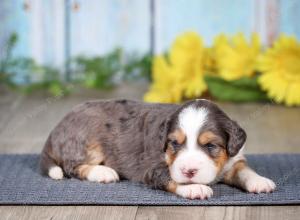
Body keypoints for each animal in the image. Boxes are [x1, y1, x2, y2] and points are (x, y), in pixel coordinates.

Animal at [40, 99, 276, 199]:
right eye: (174, 143)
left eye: (210, 146)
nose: (189, 171)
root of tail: (57, 128)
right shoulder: (152, 168)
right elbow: (171, 177)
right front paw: (194, 187)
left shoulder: (233, 159)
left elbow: (244, 169)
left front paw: (260, 181)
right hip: (88, 142)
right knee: (71, 166)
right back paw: (103, 172)